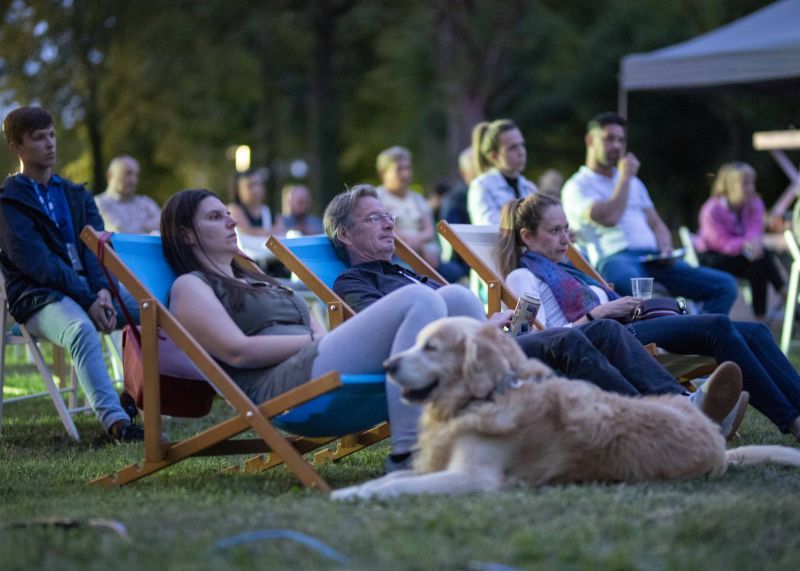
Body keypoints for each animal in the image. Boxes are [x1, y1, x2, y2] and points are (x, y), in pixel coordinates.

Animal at [332, 318, 800, 500]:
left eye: (431, 347)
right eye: (415, 342)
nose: (388, 365)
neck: (489, 396)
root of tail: (717, 441)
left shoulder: (474, 478)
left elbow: (396, 487)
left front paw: (355, 495)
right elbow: (391, 480)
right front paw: (353, 491)